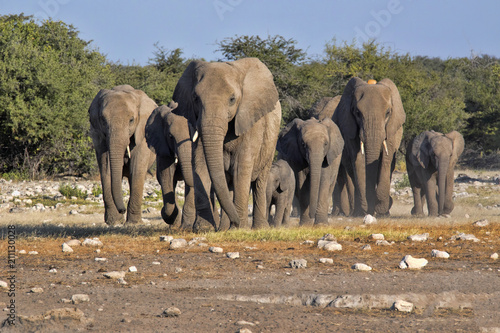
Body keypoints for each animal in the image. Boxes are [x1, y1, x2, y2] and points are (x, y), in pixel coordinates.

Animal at [89, 84, 157, 224]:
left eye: (131, 120)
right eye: (103, 120)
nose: (122, 210)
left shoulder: (142, 132)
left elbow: (136, 169)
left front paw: (133, 223)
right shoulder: (100, 136)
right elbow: (106, 169)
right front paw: (114, 222)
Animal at [172, 57, 282, 228]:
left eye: (232, 99)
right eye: (195, 98)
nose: (236, 222)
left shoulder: (250, 120)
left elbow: (241, 167)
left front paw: (238, 229)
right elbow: (200, 163)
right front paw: (204, 228)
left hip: (271, 143)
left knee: (259, 182)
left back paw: (258, 227)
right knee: (228, 184)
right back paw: (224, 228)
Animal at [332, 78, 406, 218]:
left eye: (388, 113)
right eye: (357, 113)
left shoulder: (392, 129)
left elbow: (386, 160)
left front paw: (381, 211)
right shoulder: (350, 130)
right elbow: (359, 162)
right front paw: (365, 210)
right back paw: (357, 212)